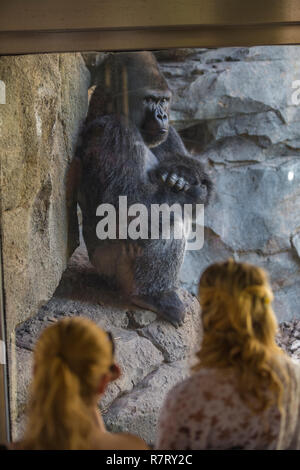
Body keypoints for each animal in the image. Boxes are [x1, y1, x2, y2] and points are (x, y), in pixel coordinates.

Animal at [73, 49, 213, 324]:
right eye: (149, 99)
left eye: (163, 100)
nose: (162, 115)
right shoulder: (114, 132)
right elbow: (125, 207)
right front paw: (193, 192)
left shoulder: (168, 133)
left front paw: (185, 173)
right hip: (106, 266)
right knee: (167, 220)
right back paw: (152, 295)